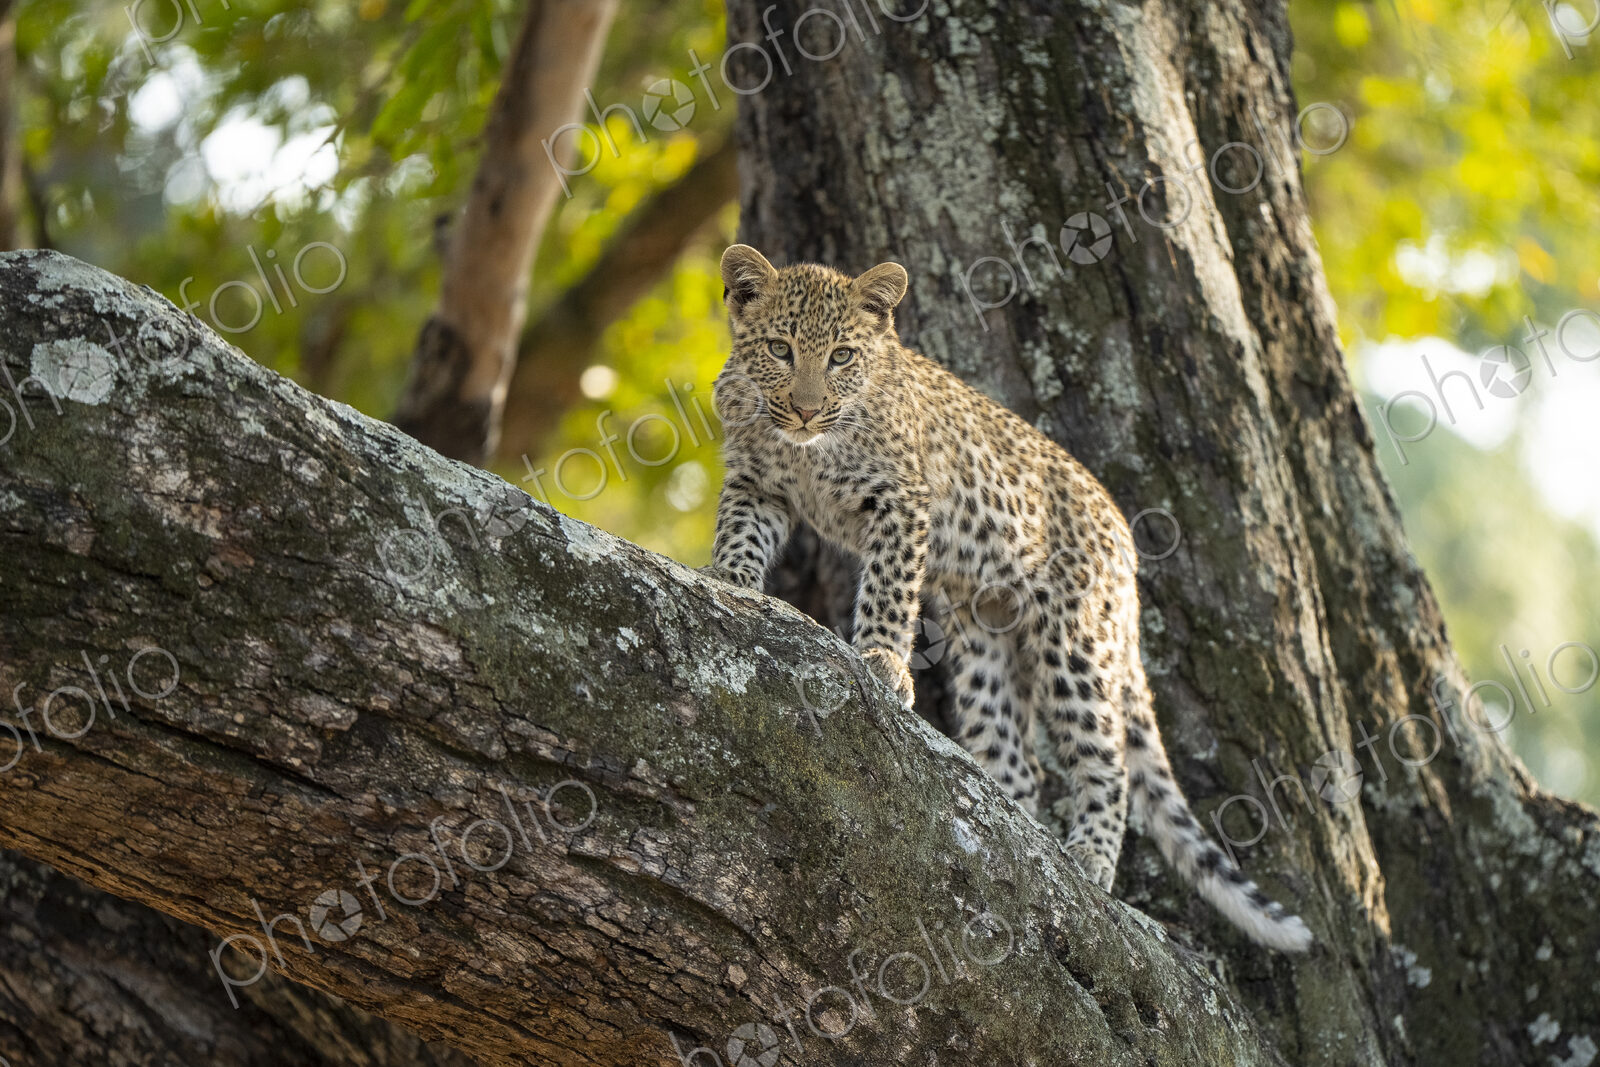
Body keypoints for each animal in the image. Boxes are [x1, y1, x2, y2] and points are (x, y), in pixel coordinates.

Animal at [702, 243, 1313, 952]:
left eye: (842, 357)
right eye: (780, 349)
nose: (804, 409)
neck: (806, 448)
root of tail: (1125, 547)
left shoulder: (904, 500)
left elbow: (888, 588)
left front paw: (882, 660)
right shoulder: (758, 485)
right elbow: (741, 537)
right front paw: (727, 581)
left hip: (1074, 641)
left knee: (1107, 759)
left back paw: (1088, 859)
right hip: (986, 639)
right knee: (1020, 762)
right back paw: (1005, 819)